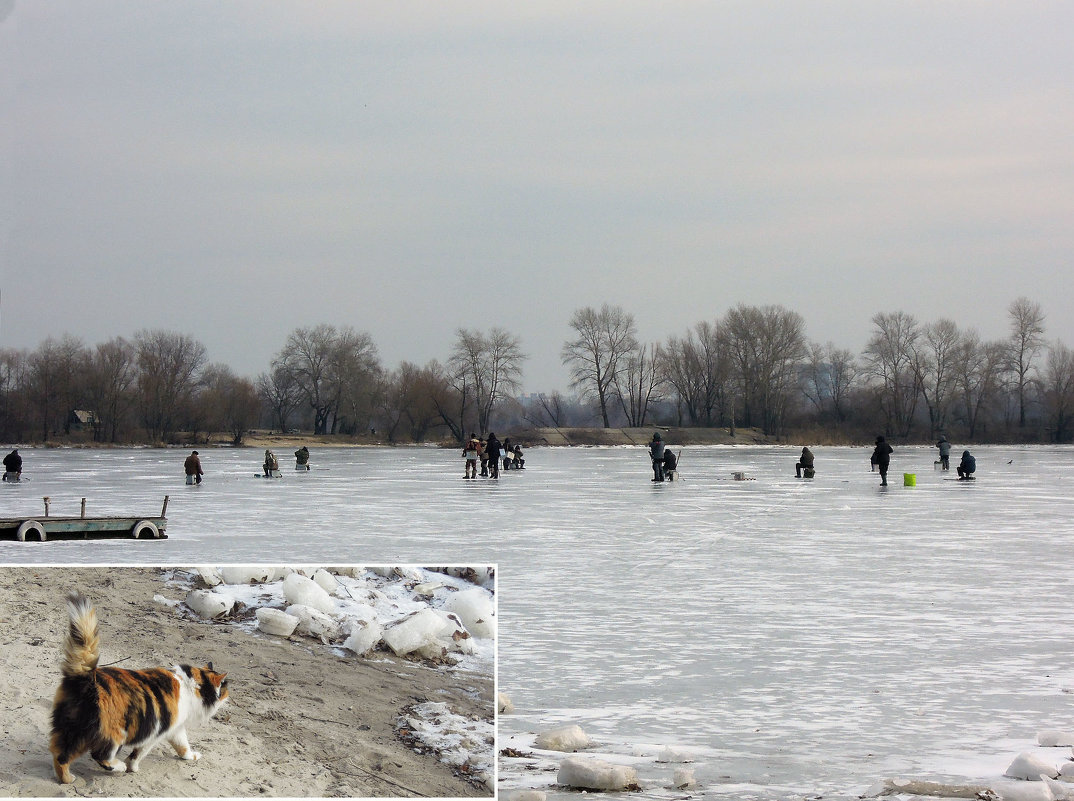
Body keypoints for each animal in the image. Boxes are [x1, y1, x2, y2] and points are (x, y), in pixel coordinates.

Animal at [49, 592, 229, 781]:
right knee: (100, 755)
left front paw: (191, 756)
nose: (228, 696)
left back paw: (67, 779)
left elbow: (183, 746)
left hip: (72, 729)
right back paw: (118, 767)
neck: (191, 684)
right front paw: (132, 767)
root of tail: (86, 677)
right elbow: (139, 753)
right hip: (113, 734)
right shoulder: (156, 731)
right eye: (224, 687)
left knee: (60, 755)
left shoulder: (176, 729)